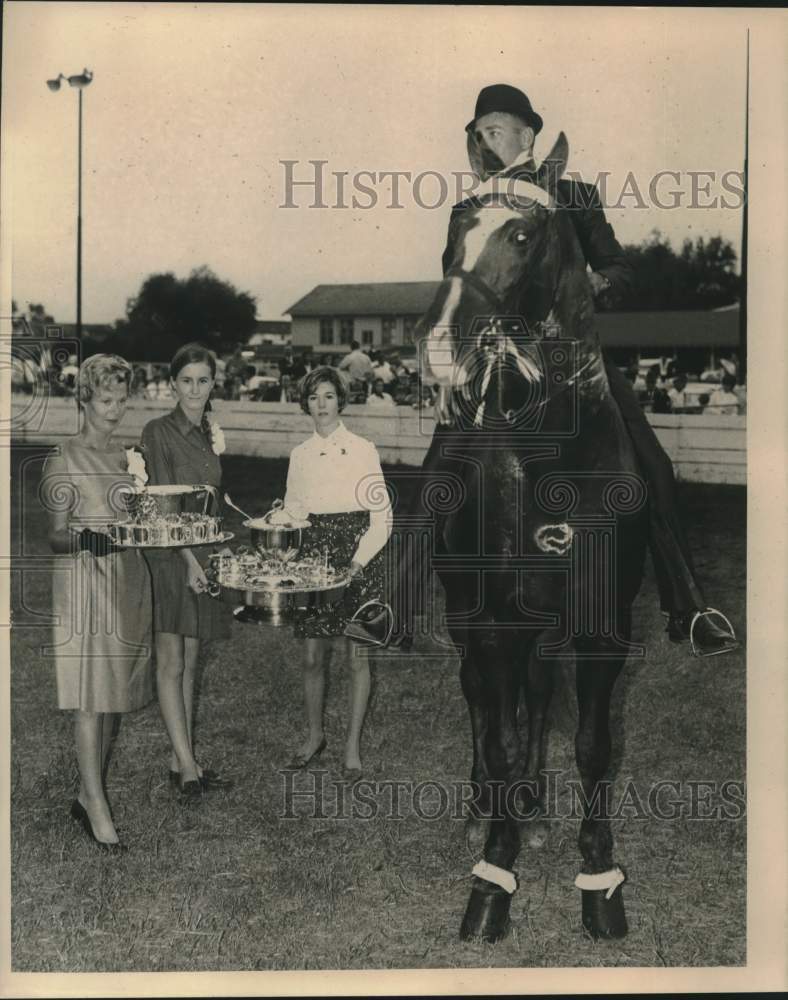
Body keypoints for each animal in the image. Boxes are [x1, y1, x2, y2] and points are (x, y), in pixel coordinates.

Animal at [418, 135, 648, 944]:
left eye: (521, 235)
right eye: (455, 227)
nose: (440, 348)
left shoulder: (601, 627)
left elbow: (594, 745)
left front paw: (599, 877)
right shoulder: (492, 622)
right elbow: (500, 736)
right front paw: (494, 873)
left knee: (539, 699)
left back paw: (533, 805)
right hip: (471, 616)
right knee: (483, 705)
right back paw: (490, 804)